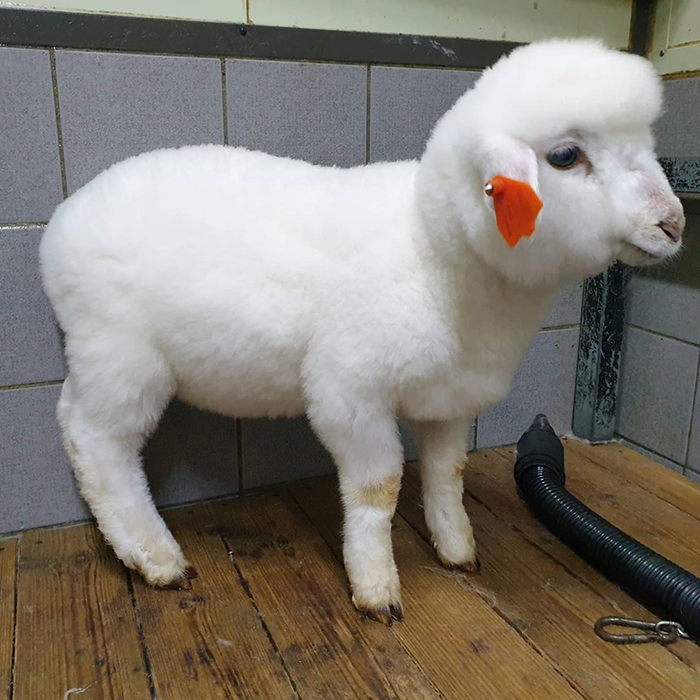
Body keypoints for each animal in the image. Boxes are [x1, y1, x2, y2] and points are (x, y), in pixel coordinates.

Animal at [40, 38, 684, 624]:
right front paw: (376, 587)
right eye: (566, 156)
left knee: (75, 419)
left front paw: (456, 547)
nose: (673, 224)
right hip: (123, 355)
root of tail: (58, 229)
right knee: (97, 442)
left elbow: (447, 474)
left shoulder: (450, 396)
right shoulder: (350, 394)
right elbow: (379, 487)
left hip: (105, 357)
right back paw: (155, 556)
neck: (434, 251)